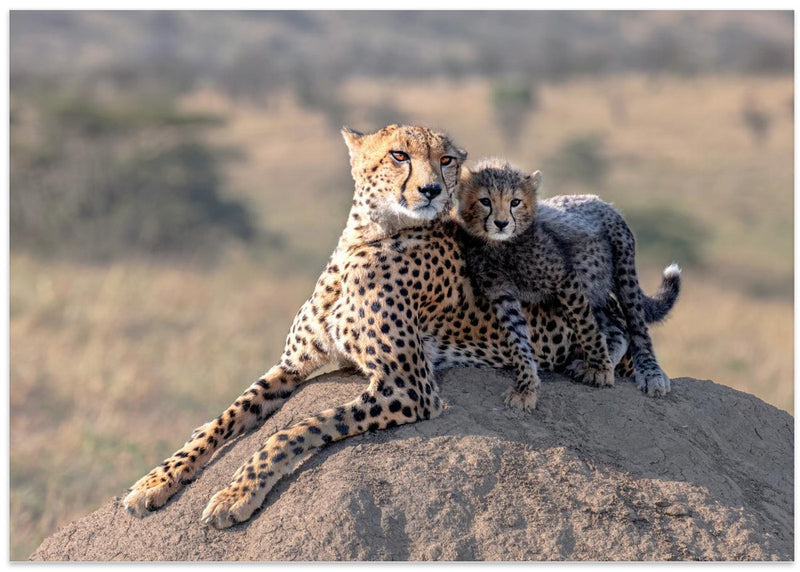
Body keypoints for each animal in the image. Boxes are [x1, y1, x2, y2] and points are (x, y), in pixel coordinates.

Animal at [125, 124, 628, 528]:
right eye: (399, 155)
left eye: (446, 160)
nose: (431, 190)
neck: (366, 237)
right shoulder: (291, 365)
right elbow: (224, 418)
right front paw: (157, 479)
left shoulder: (408, 386)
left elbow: (297, 428)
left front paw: (237, 493)